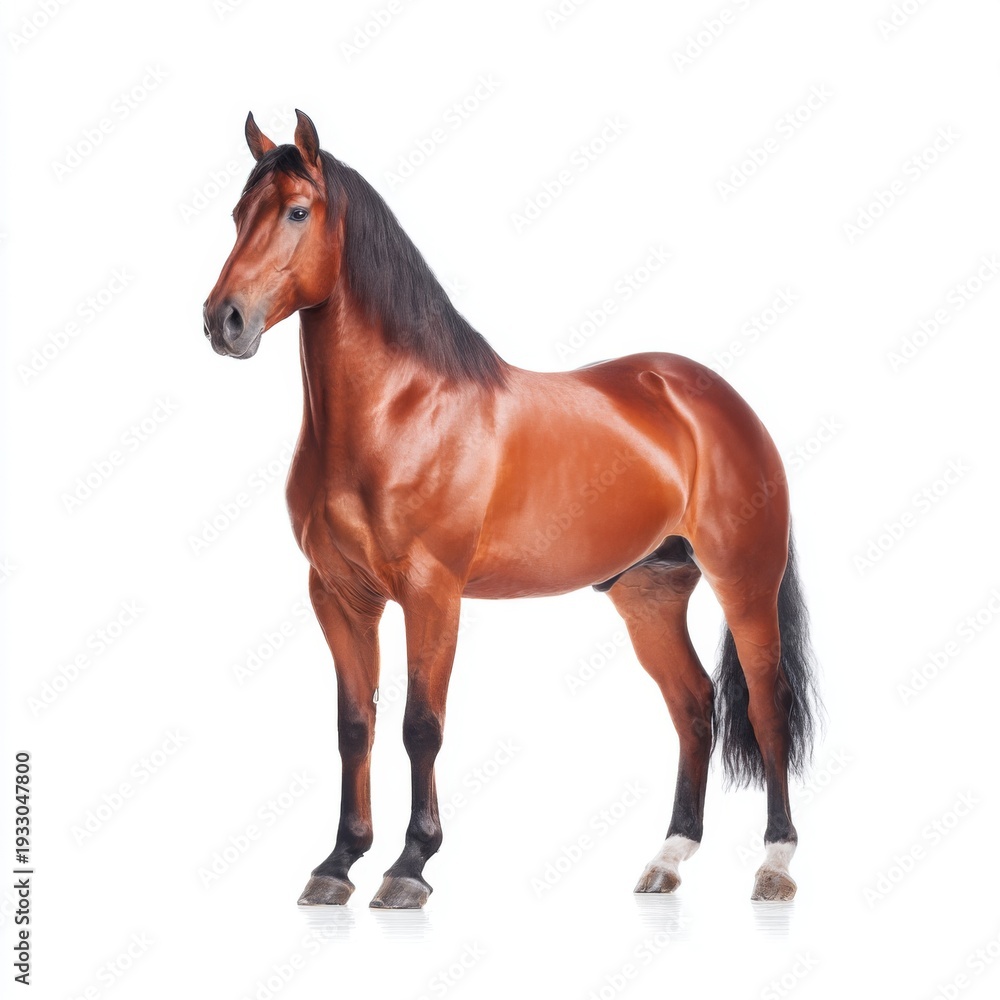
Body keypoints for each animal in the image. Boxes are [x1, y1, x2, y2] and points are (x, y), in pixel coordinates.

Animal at [203, 110, 819, 909]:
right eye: (238, 214)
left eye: (298, 212)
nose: (225, 321)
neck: (399, 412)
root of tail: (717, 398)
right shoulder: (338, 595)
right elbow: (354, 726)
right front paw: (338, 862)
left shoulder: (433, 594)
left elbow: (420, 726)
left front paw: (409, 865)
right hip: (650, 593)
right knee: (693, 706)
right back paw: (668, 860)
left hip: (745, 581)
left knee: (765, 708)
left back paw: (775, 864)